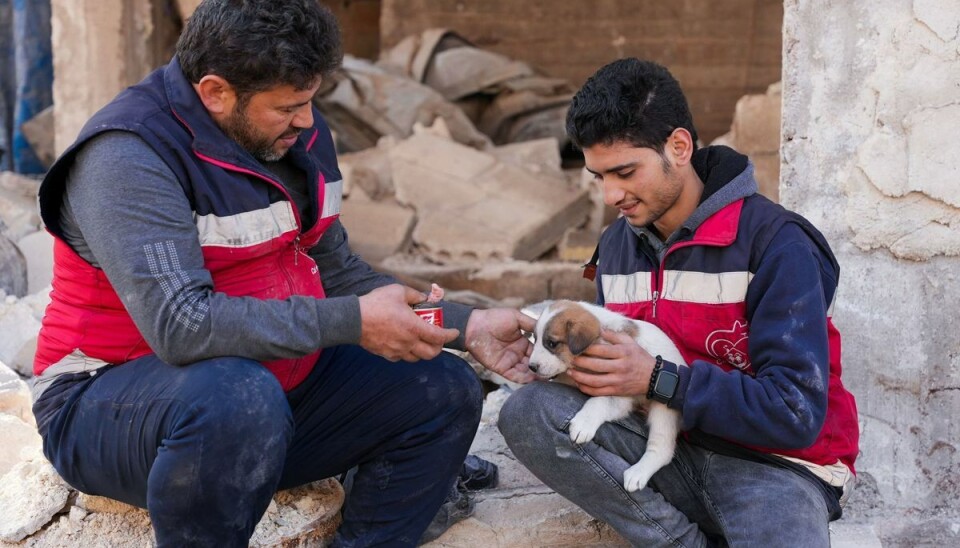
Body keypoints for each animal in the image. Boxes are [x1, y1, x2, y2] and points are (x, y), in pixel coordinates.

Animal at [528, 300, 688, 492]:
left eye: (552, 343)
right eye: (535, 339)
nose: (531, 367)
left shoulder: (619, 390)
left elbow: (598, 402)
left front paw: (583, 424)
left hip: (663, 410)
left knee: (662, 446)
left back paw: (638, 472)